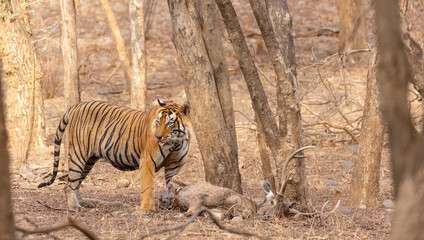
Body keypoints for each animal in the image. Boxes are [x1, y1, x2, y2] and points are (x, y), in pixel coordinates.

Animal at [38, 99, 190, 210]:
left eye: (169, 123)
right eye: (158, 122)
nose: (157, 137)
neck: (176, 143)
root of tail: (77, 105)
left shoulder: (174, 166)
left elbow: (172, 186)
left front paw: (171, 202)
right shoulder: (148, 161)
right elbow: (148, 186)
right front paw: (147, 209)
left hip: (89, 161)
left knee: (75, 183)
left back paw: (83, 203)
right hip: (78, 155)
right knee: (68, 185)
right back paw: (75, 207)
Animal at [161, 145, 320, 220]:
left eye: (281, 213)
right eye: (272, 202)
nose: (268, 217)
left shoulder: (220, 211)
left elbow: (212, 214)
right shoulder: (203, 196)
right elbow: (191, 210)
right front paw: (177, 215)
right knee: (176, 179)